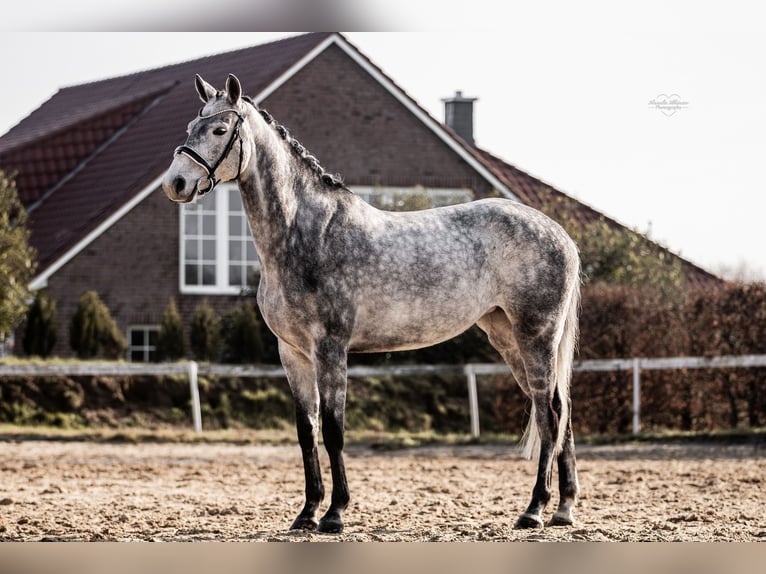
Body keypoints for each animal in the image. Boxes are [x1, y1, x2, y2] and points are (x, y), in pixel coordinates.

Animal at [162, 75, 584, 536]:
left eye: (220, 130)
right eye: (190, 127)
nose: (175, 183)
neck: (306, 233)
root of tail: (558, 233)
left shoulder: (330, 349)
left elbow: (333, 430)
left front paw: (335, 514)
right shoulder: (292, 353)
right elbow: (306, 431)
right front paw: (306, 513)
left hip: (535, 335)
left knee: (548, 414)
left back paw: (534, 509)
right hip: (506, 336)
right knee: (559, 409)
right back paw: (563, 509)